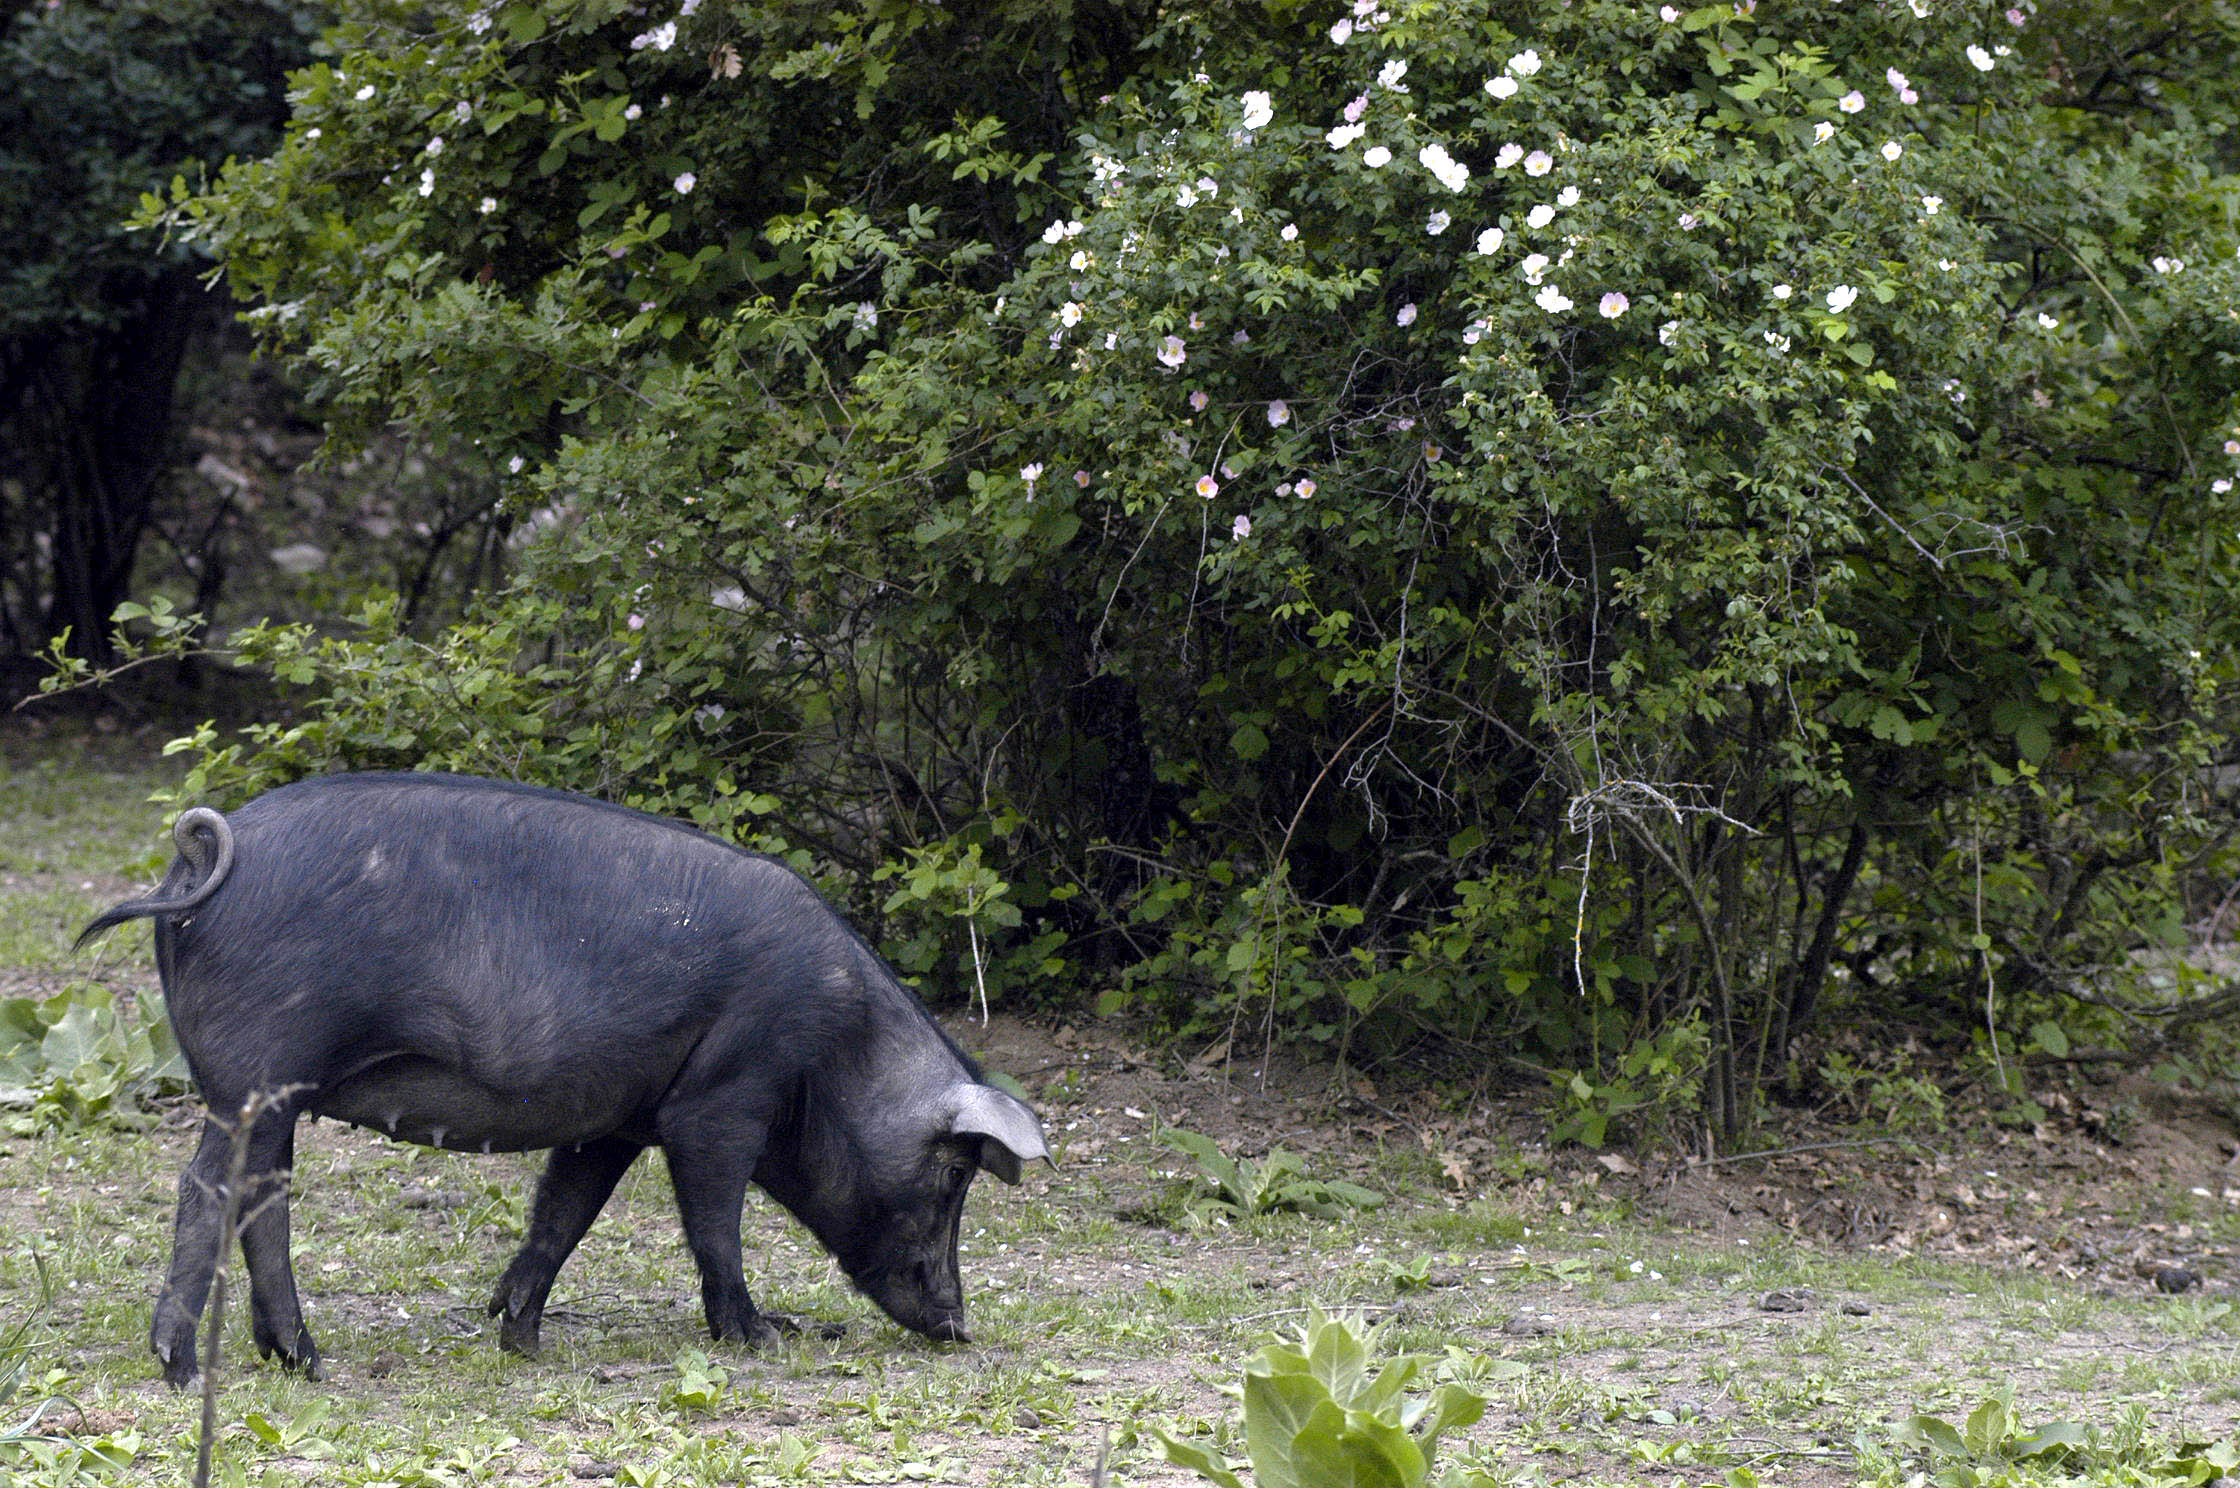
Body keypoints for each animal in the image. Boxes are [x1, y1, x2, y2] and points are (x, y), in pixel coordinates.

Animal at [72, 770, 1048, 1389]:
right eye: (953, 1177)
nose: (959, 1326)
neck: (840, 1049)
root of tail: (202, 857)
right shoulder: (720, 1097)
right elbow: (714, 1223)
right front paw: (762, 1337)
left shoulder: (616, 1117)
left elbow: (563, 1213)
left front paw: (517, 1335)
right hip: (258, 1071)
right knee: (208, 1191)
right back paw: (185, 1369)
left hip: (277, 1093)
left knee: (263, 1201)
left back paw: (302, 1363)